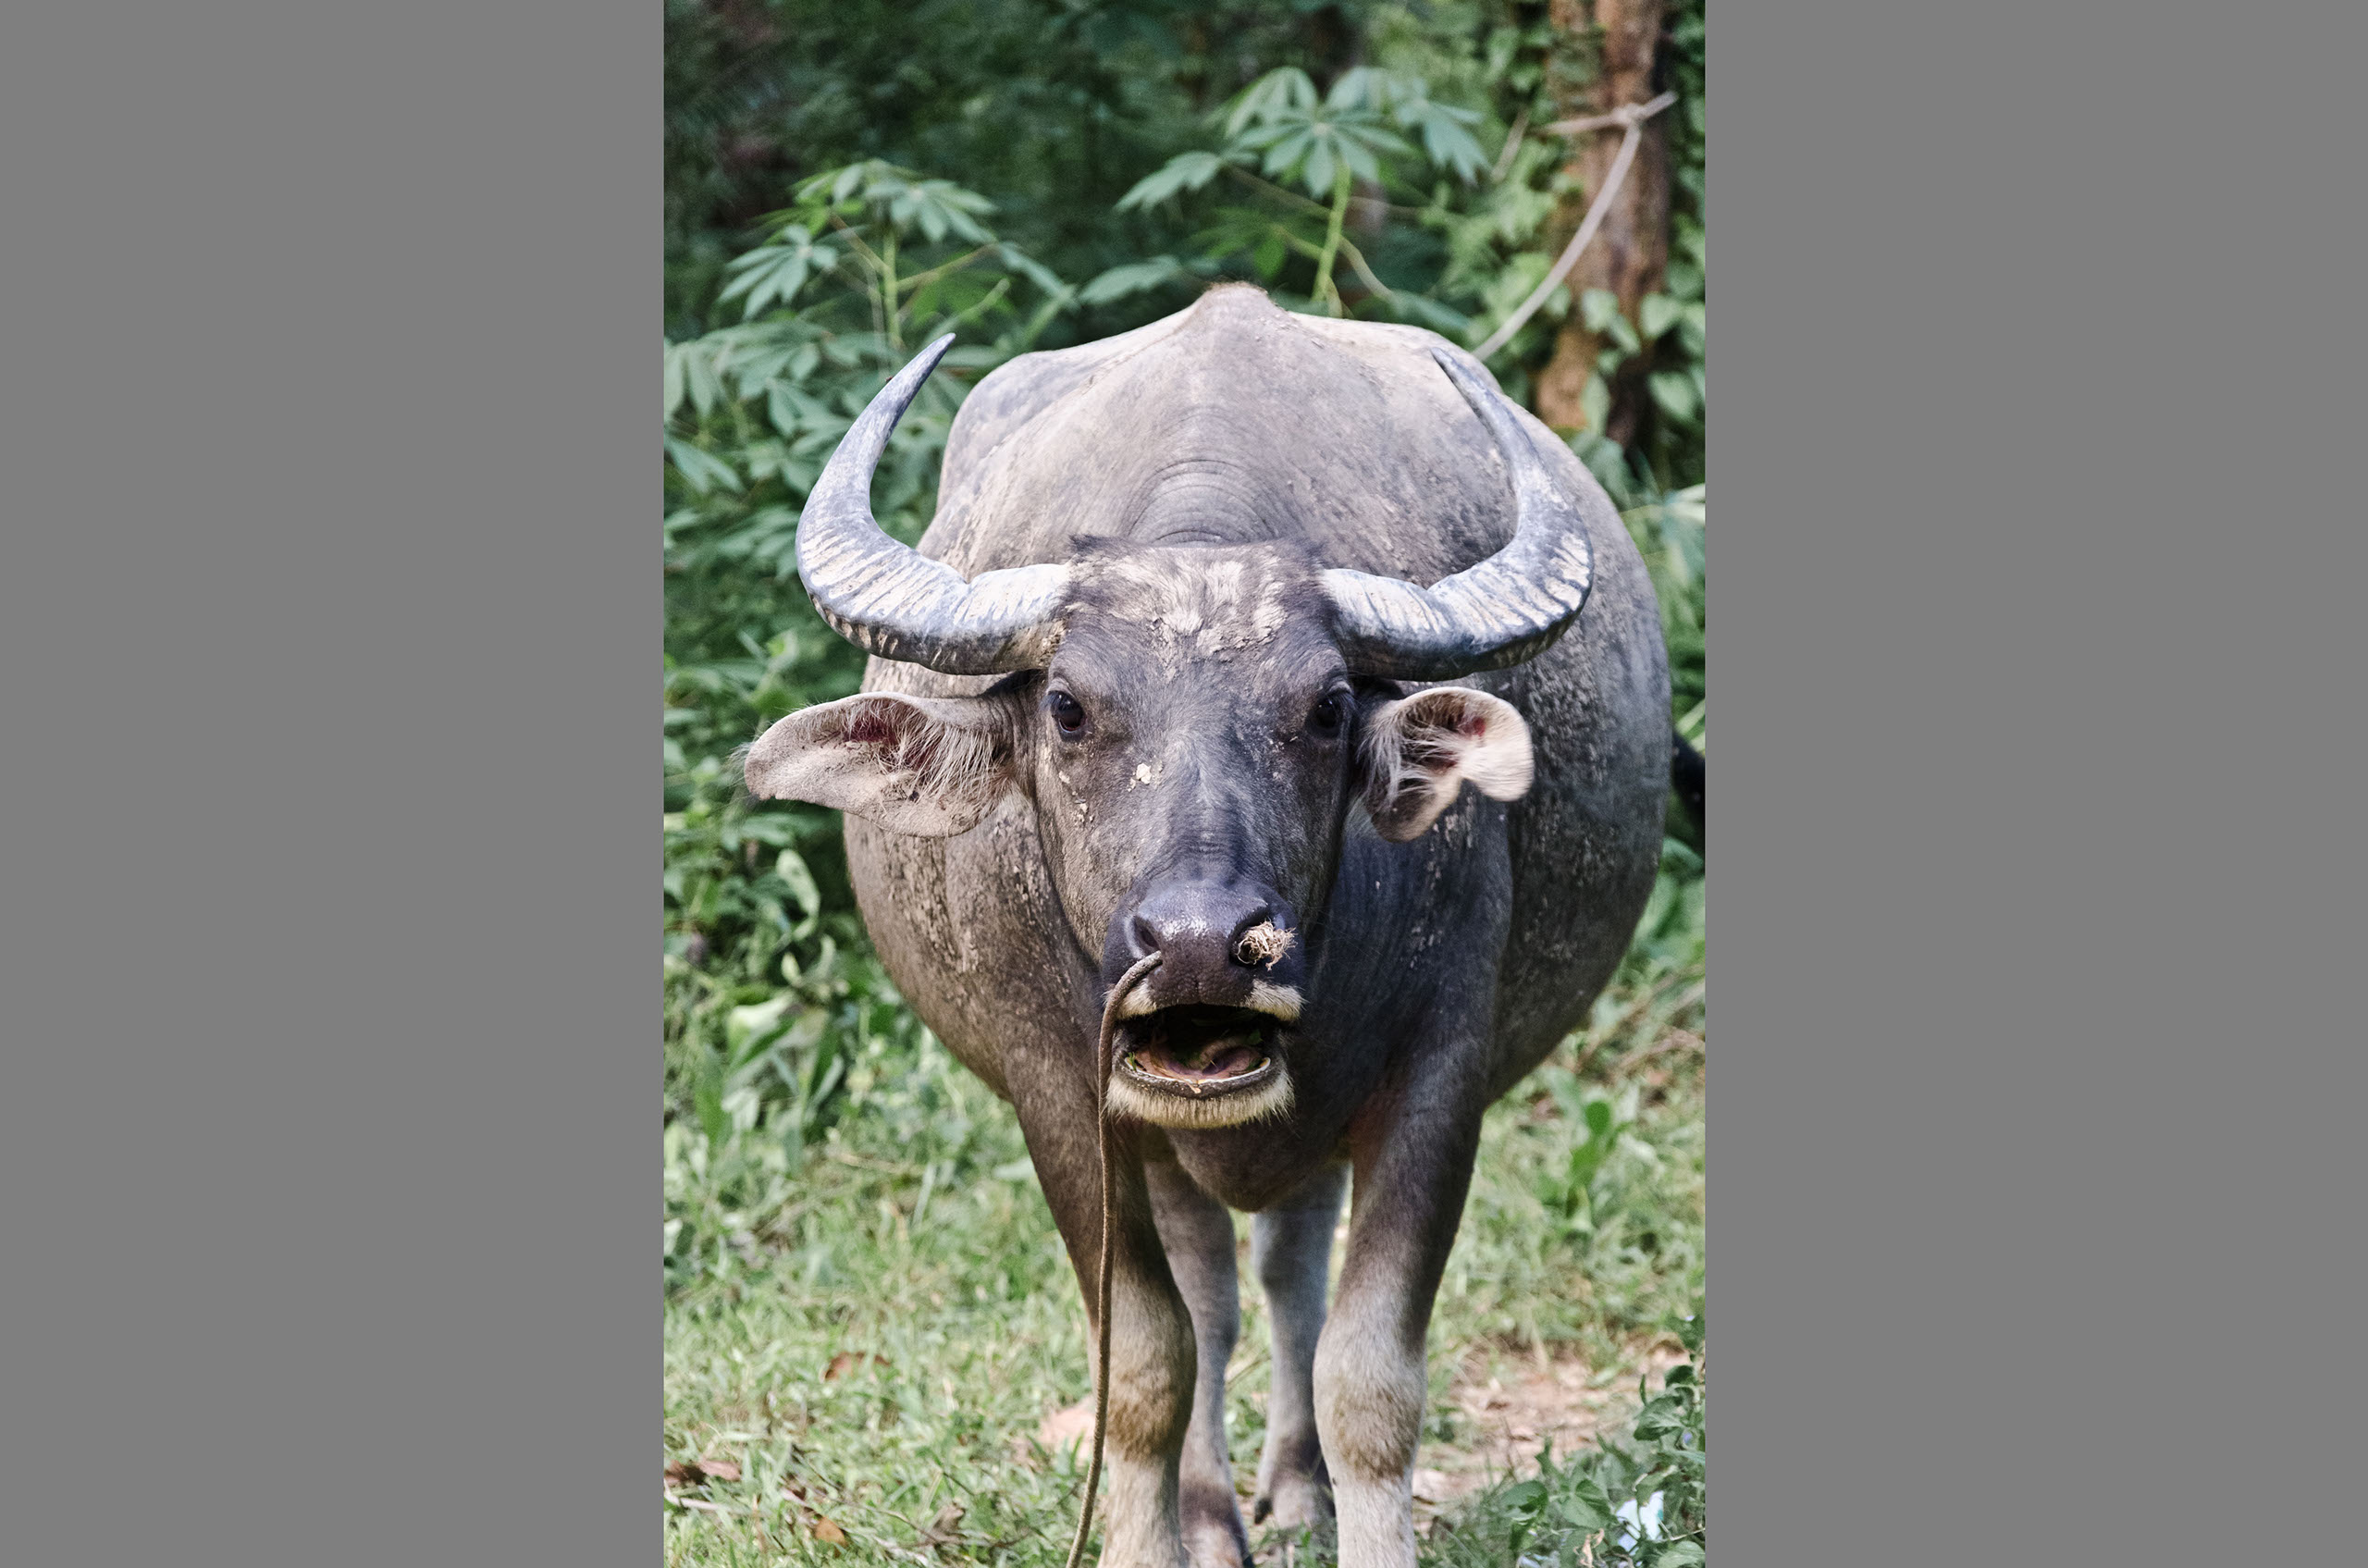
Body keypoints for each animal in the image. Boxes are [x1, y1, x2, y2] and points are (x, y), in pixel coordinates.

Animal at [743, 284, 1676, 1568]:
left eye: (1327, 708)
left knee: (1284, 1272)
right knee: (1212, 1298)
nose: (1196, 945)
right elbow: (1144, 1362)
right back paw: (1210, 1510)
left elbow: (1368, 1378)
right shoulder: (1062, 1096)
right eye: (1067, 706)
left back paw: (1294, 1486)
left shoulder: (1438, 1074)